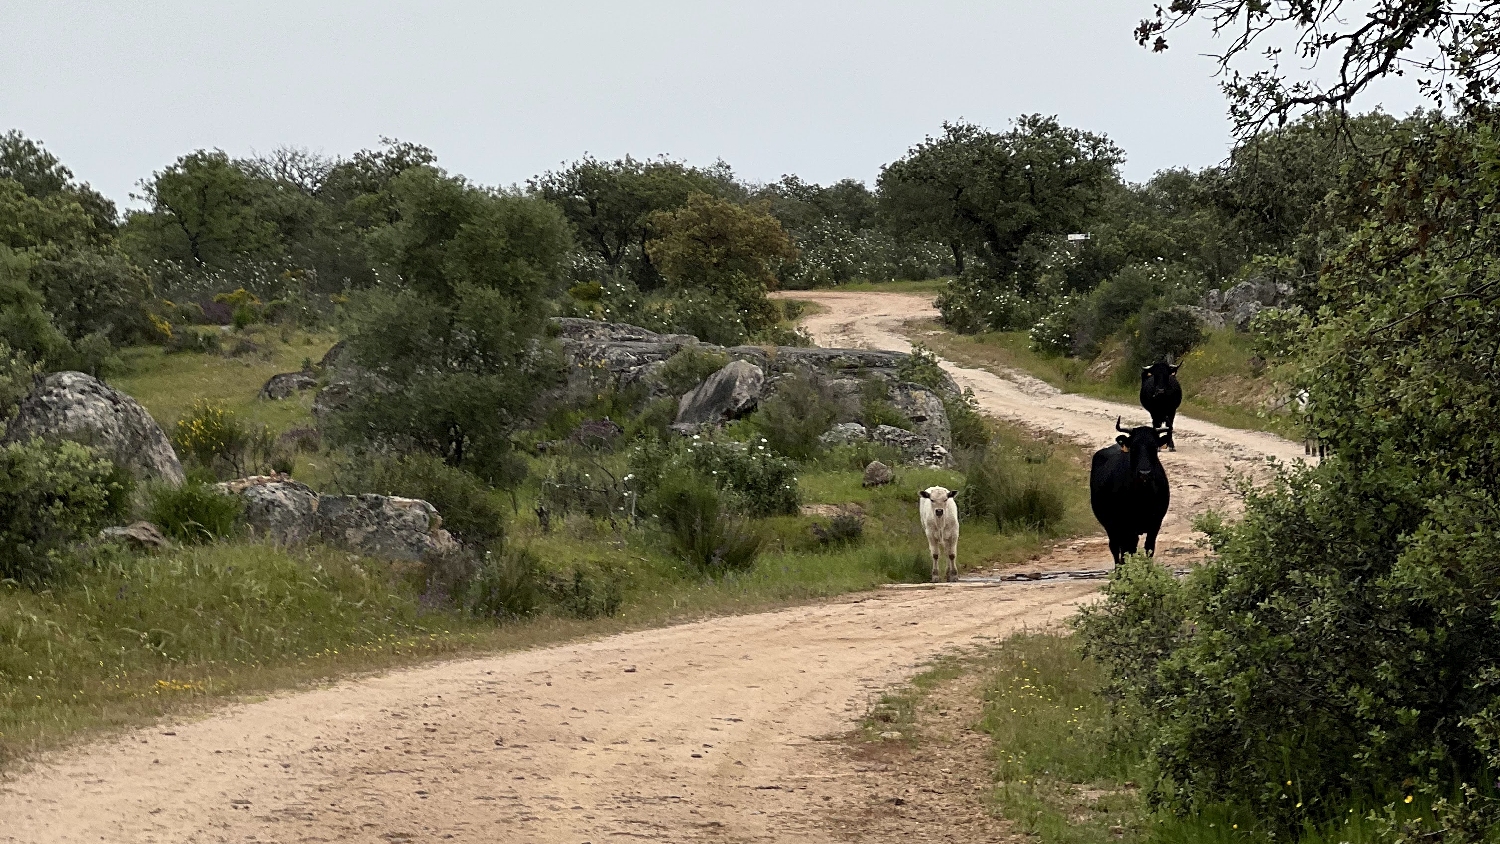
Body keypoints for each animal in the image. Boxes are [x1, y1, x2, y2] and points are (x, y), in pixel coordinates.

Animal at [1092, 416, 1170, 566]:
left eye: (1154, 447)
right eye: (1134, 447)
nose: (1144, 473)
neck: (1143, 495)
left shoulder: (1156, 523)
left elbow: (1149, 548)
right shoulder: (1126, 525)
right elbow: (1127, 550)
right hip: (1111, 525)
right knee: (1116, 547)